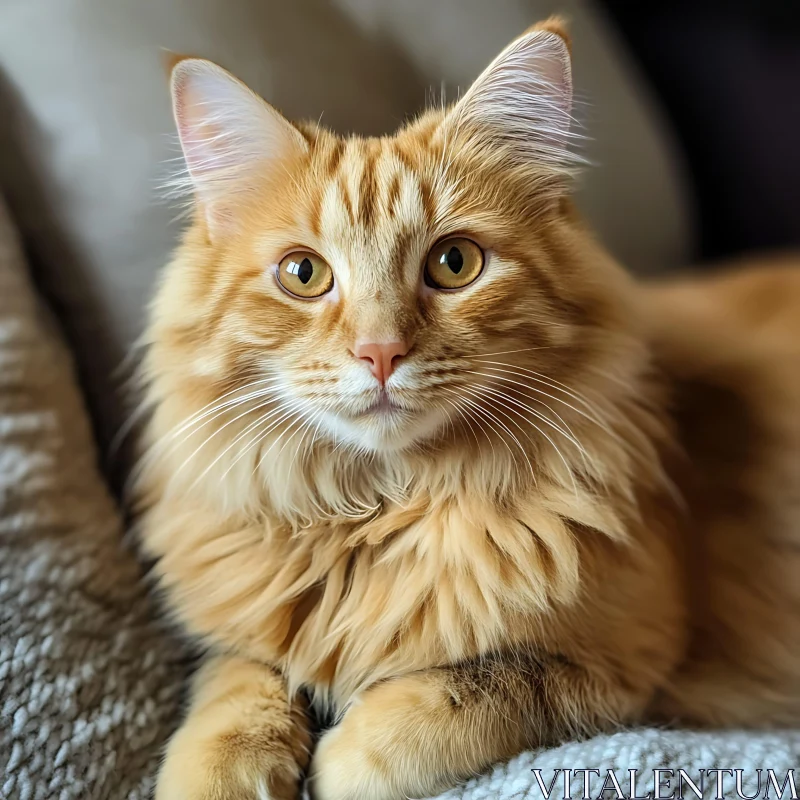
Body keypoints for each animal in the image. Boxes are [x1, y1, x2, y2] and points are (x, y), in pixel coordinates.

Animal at [141, 18, 800, 800]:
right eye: (303, 274)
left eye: (454, 264)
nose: (380, 352)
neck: (383, 511)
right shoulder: (243, 622)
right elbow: (234, 686)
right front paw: (222, 767)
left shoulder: (626, 663)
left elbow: (467, 693)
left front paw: (349, 755)